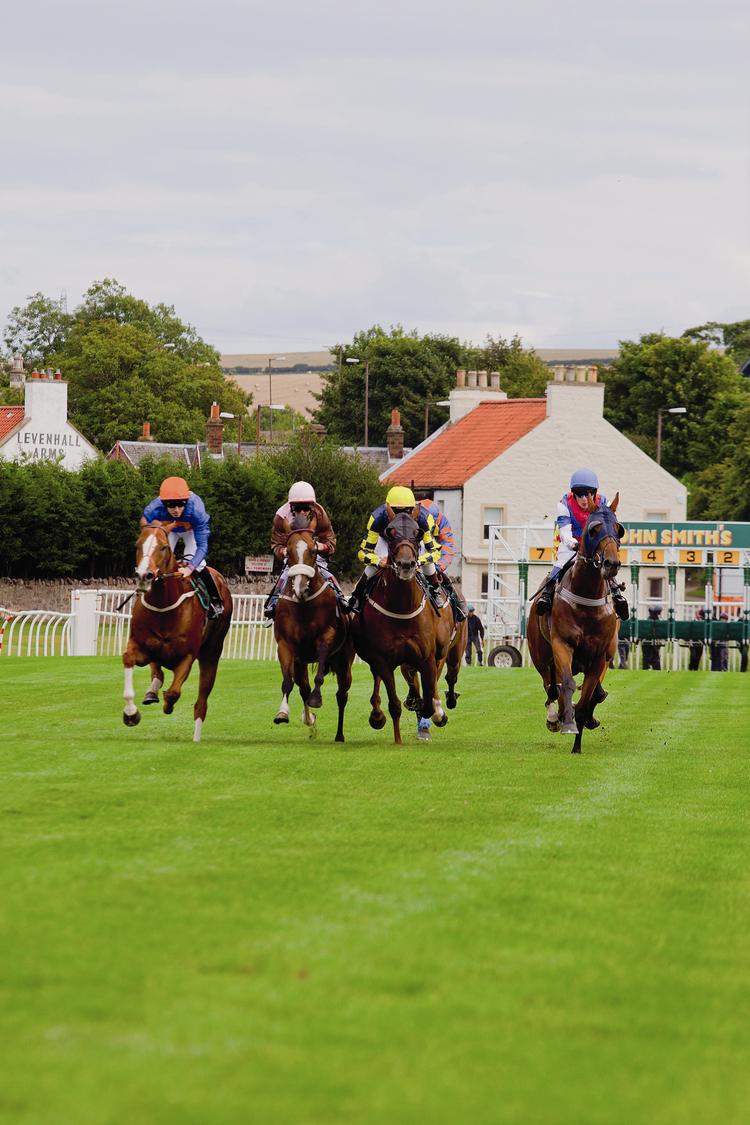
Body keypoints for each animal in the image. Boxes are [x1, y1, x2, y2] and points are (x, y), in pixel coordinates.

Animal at [122, 522, 232, 742]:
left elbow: (173, 693)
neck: (164, 606)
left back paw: (196, 737)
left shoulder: (187, 655)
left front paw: (167, 705)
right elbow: (129, 659)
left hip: (212, 652)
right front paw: (131, 713)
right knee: (157, 672)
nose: (144, 576)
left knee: (201, 703)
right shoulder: (141, 646)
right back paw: (152, 692)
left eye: (164, 547)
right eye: (137, 545)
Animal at [273, 510, 355, 738]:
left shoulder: (326, 637)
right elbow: (287, 681)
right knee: (303, 688)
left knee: (342, 694)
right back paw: (309, 720)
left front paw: (317, 699)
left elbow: (319, 677)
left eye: (313, 549)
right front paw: (283, 712)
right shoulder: (286, 645)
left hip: (344, 661)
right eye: (289, 550)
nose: (300, 587)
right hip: (300, 661)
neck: (304, 604)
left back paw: (339, 734)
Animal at [355, 513, 461, 742]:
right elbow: (394, 703)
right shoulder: (382, 659)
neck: (402, 608)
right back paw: (378, 714)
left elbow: (428, 699)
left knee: (449, 676)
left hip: (452, 652)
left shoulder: (427, 656)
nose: (406, 564)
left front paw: (434, 712)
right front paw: (397, 739)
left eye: (417, 534)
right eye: (390, 533)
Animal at [526, 495, 625, 751]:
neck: (586, 597)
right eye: (594, 529)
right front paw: (566, 722)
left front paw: (577, 744)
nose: (611, 563)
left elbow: (587, 697)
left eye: (618, 529)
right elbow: (567, 685)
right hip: (540, 654)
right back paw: (555, 717)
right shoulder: (562, 645)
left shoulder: (600, 655)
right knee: (550, 686)